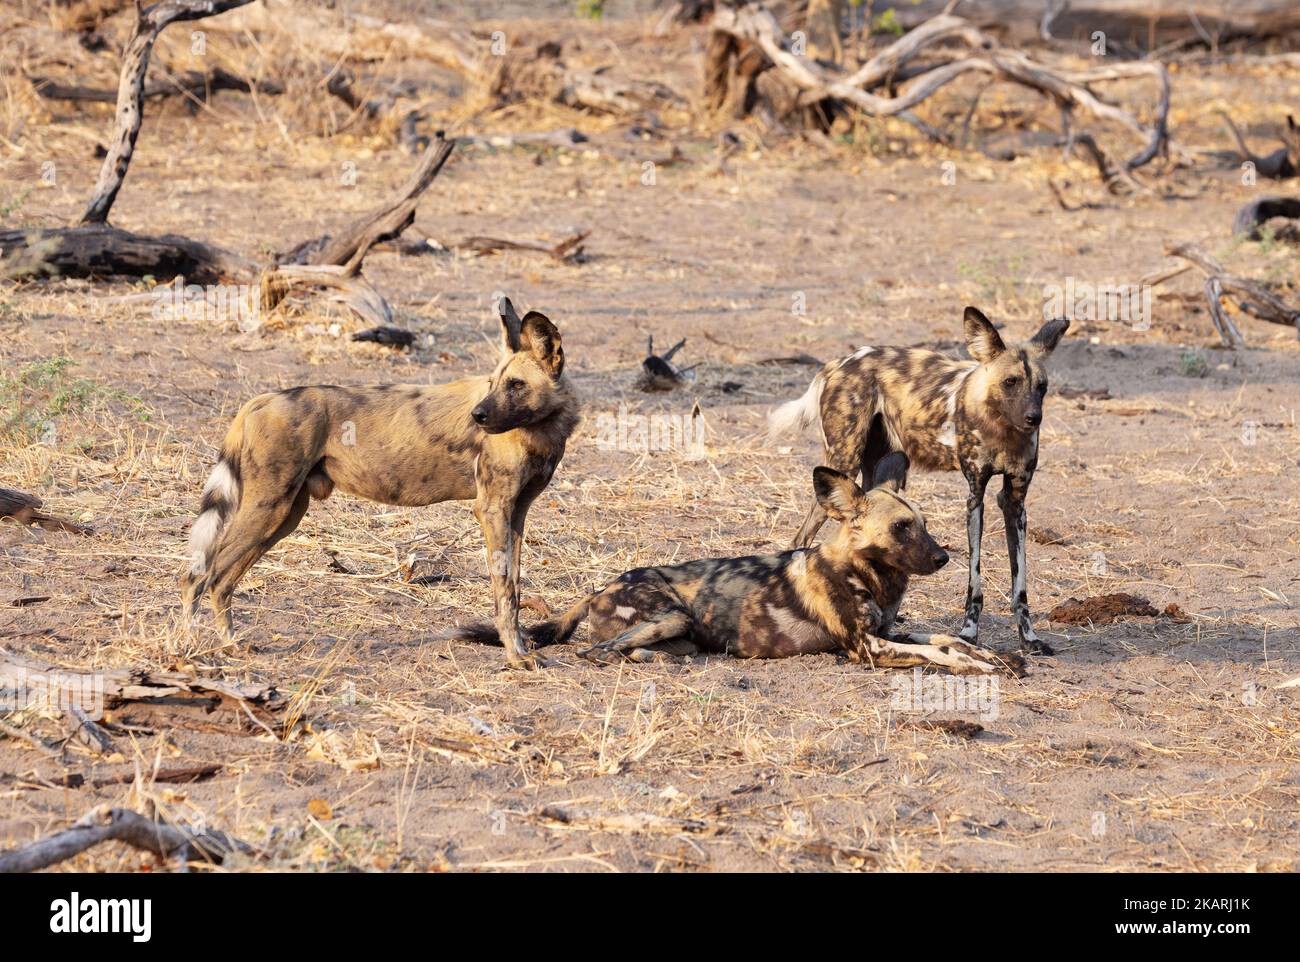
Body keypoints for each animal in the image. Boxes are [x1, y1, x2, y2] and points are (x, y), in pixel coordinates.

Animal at [180, 296, 577, 665]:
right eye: (494, 384)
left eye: (516, 385)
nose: (477, 415)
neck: (542, 429)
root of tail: (261, 399)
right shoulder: (493, 509)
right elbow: (505, 591)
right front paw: (516, 655)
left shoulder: (517, 512)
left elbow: (515, 585)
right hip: (268, 508)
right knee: (198, 576)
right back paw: (186, 645)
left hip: (283, 516)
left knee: (220, 581)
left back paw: (230, 645)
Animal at [452, 457, 1029, 676]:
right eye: (902, 528)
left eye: (924, 524)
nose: (944, 557)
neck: (870, 575)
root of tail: (598, 588)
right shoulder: (867, 648)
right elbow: (941, 655)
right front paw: (977, 667)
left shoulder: (888, 632)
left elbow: (946, 640)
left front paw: (993, 656)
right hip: (671, 615)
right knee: (599, 651)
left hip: (678, 627)